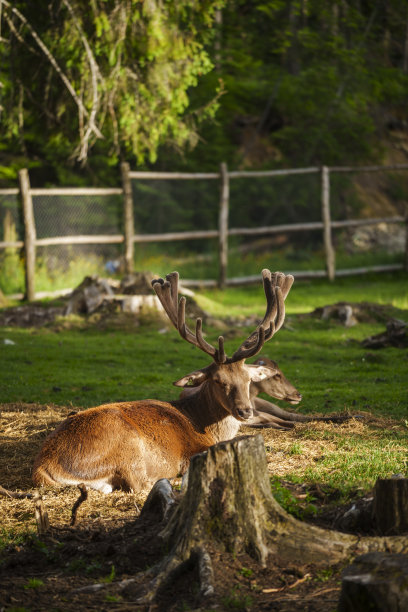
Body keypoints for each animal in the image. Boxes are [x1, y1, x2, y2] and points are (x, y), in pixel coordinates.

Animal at [31, 268, 294, 520]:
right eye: (219, 380)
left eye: (249, 379)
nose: (245, 410)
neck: (206, 426)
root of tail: (43, 467)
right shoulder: (194, 450)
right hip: (127, 446)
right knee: (139, 483)